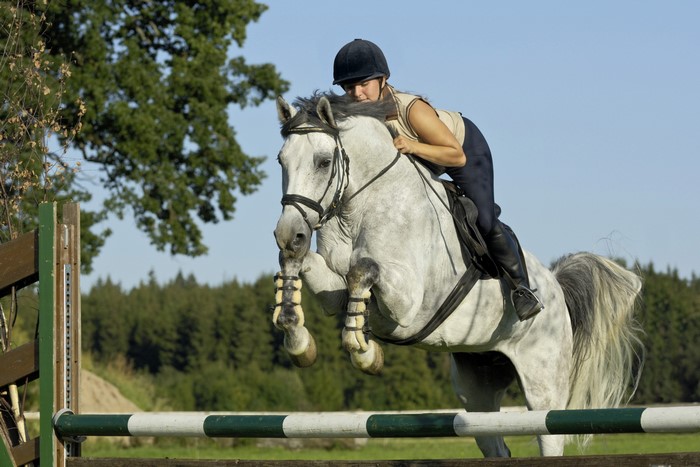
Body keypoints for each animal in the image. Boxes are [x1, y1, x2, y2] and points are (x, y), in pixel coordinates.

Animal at [271, 91, 644, 457]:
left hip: (544, 384)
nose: (288, 234)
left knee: (548, 435)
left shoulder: (407, 303)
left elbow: (362, 270)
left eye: (323, 161)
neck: (359, 210)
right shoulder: (334, 292)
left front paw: (364, 352)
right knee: (495, 444)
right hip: (477, 387)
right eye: (281, 160)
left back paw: (526, 300)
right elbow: (310, 268)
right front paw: (297, 338)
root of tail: (556, 291)